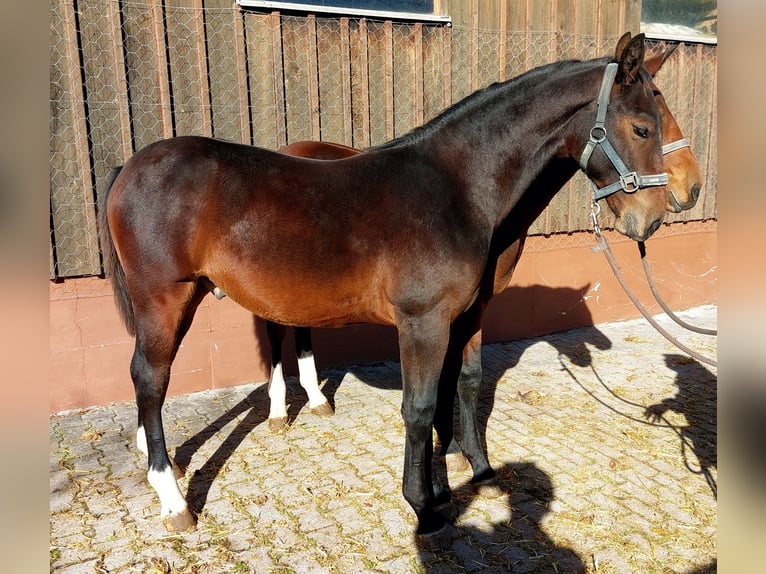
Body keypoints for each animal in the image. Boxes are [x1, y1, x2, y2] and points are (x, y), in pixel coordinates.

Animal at [99, 33, 671, 536]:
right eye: (643, 128)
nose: (652, 219)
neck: (456, 187)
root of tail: (129, 165)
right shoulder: (423, 322)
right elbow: (419, 409)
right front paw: (425, 507)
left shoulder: (462, 317)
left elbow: (457, 387)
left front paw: (469, 476)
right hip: (165, 298)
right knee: (149, 378)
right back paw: (174, 500)